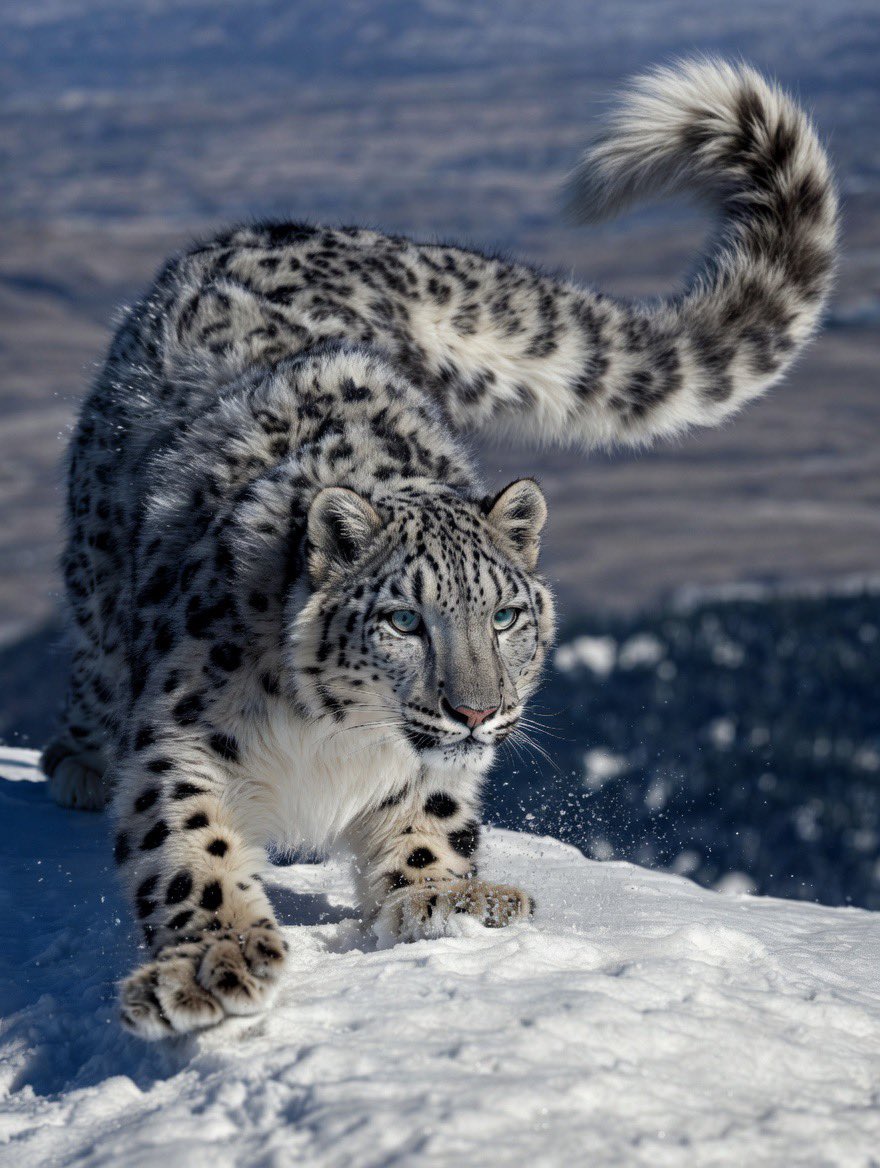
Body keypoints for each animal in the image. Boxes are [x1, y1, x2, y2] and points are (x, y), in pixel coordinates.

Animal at [40, 60, 837, 1039]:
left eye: (503, 615)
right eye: (402, 620)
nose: (476, 712)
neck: (335, 739)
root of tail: (322, 234)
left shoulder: (430, 768)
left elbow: (435, 811)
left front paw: (449, 894)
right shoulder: (184, 734)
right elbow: (189, 840)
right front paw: (213, 960)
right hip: (96, 567)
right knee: (94, 657)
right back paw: (79, 763)